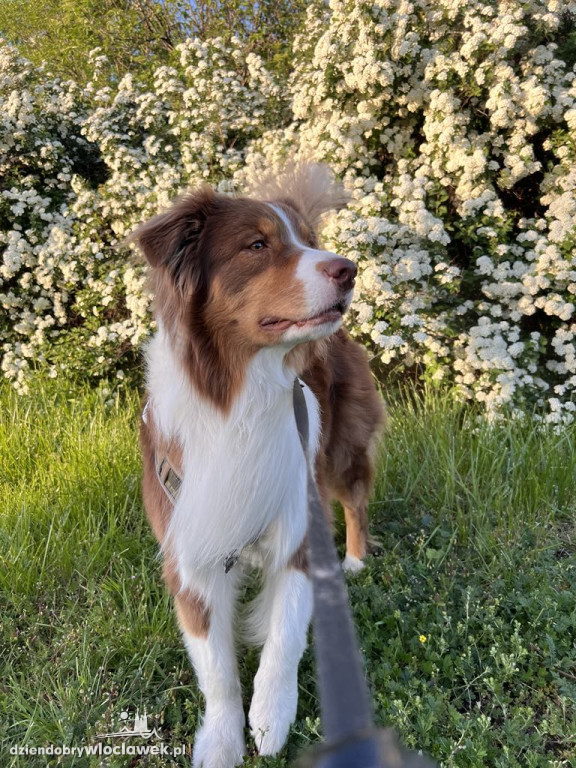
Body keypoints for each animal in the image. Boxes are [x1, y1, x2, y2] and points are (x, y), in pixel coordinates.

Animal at [132, 165, 384, 767]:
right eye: (257, 245)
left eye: (306, 240)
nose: (348, 269)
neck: (239, 394)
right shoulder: (190, 545)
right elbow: (216, 669)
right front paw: (222, 740)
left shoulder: (298, 523)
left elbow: (286, 634)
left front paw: (272, 717)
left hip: (341, 450)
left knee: (356, 501)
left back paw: (355, 561)